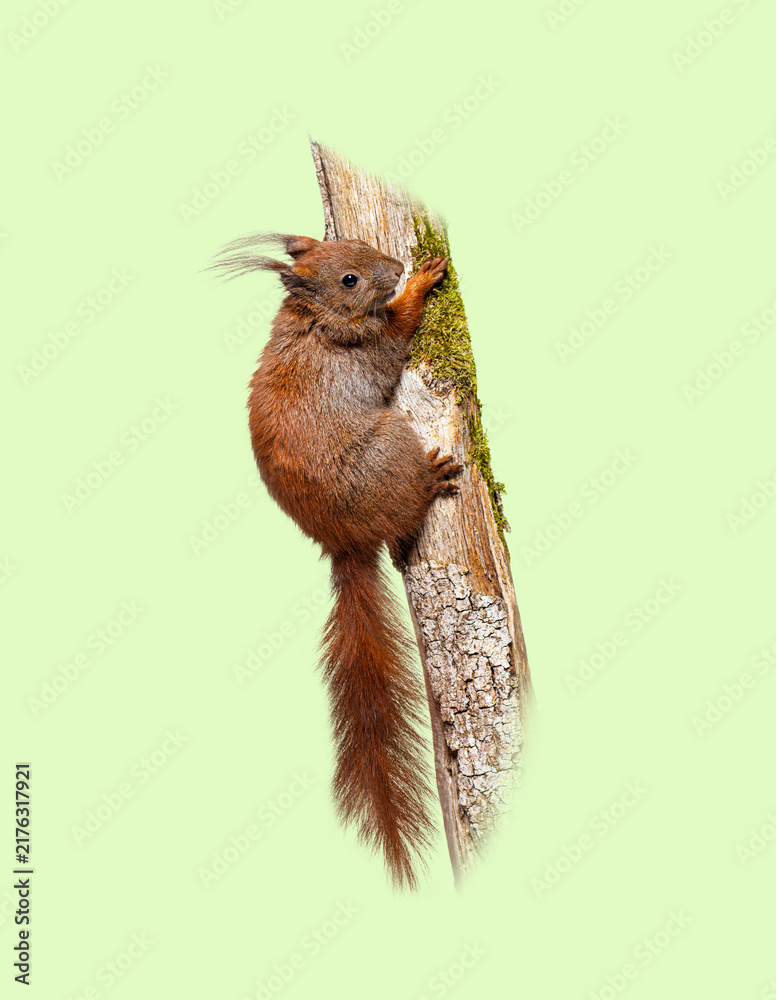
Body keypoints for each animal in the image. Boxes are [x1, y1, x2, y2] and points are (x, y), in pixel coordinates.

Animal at [212, 232, 461, 889]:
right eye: (349, 278)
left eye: (357, 243)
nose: (393, 267)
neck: (316, 321)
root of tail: (344, 544)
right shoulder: (370, 348)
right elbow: (399, 331)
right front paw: (420, 282)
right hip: (391, 445)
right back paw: (431, 480)